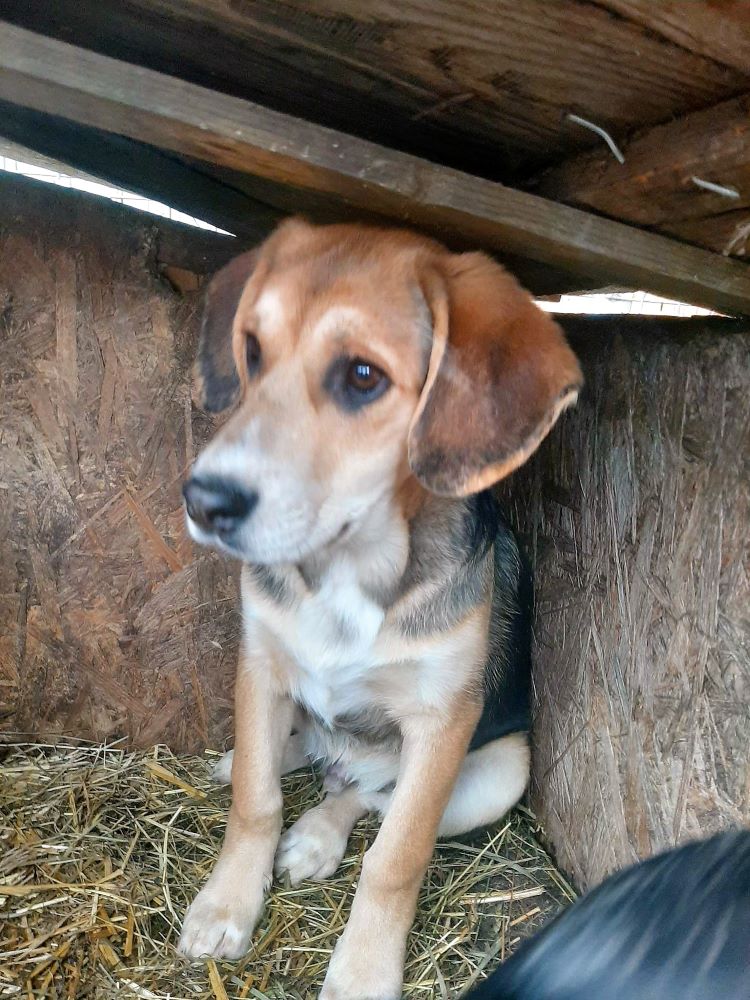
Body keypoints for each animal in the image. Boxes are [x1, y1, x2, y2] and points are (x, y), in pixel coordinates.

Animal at [179, 221, 584, 1000]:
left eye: (363, 377)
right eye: (252, 351)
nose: (204, 502)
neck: (347, 569)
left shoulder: (441, 721)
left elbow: (395, 858)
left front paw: (363, 972)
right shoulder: (261, 665)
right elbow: (255, 802)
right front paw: (225, 906)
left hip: (500, 773)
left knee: (369, 795)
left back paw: (317, 836)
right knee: (310, 765)